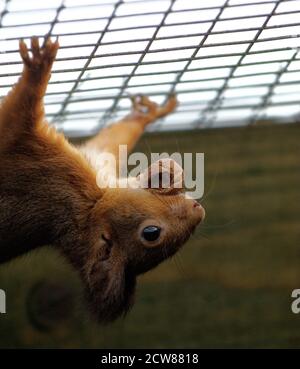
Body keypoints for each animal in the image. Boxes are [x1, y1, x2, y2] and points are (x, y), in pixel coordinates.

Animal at [0, 36, 205, 320]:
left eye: (151, 233)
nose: (197, 208)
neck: (94, 204)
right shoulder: (98, 160)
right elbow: (113, 139)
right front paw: (146, 114)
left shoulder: (47, 168)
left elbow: (18, 116)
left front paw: (38, 67)